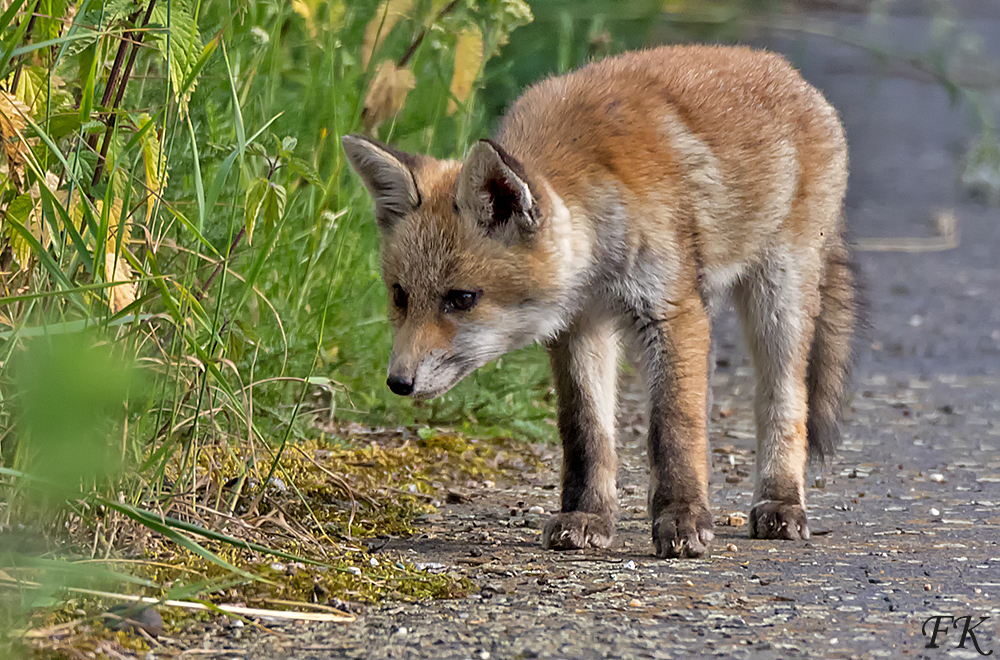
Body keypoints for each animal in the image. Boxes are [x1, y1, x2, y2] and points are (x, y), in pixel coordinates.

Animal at [342, 43, 852, 556]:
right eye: (399, 296)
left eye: (462, 298)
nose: (398, 382)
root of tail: (780, 66)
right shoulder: (579, 325)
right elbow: (585, 431)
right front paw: (587, 515)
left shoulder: (671, 311)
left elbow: (674, 426)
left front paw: (682, 516)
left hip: (778, 298)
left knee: (787, 399)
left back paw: (781, 502)